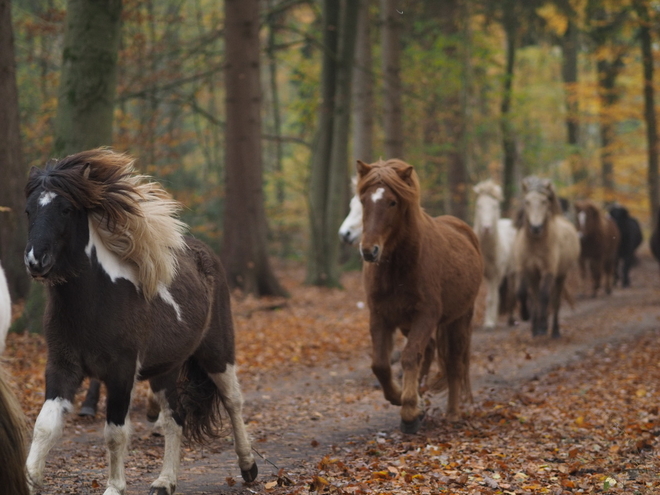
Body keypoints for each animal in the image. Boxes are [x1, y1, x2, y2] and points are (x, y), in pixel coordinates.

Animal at [23, 150, 256, 495]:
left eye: (66, 209)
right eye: (29, 210)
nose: (36, 261)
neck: (96, 302)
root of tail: (204, 255)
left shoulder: (121, 371)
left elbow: (115, 433)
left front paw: (114, 487)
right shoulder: (62, 367)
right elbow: (45, 426)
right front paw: (29, 478)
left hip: (217, 351)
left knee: (233, 401)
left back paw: (248, 465)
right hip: (165, 369)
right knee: (176, 418)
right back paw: (164, 481)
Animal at [358, 159, 482, 434]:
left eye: (392, 202)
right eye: (363, 200)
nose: (369, 251)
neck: (397, 269)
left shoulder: (426, 315)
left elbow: (409, 357)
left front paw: (410, 412)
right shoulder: (380, 316)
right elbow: (380, 364)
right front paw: (402, 398)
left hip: (459, 319)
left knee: (454, 363)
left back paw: (452, 413)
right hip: (406, 323)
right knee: (431, 349)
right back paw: (421, 391)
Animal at [472, 179, 520, 330]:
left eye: (494, 206)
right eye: (479, 206)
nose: (486, 228)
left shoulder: (495, 274)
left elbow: (491, 298)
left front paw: (489, 323)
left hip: (513, 273)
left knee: (511, 294)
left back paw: (511, 319)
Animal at [512, 176, 580, 340]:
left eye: (544, 201)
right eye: (527, 201)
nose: (536, 228)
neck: (535, 244)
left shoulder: (548, 271)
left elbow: (544, 296)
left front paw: (543, 326)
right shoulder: (525, 270)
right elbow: (522, 293)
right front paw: (526, 316)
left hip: (561, 275)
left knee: (555, 301)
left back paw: (554, 331)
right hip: (535, 276)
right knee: (535, 297)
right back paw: (535, 328)